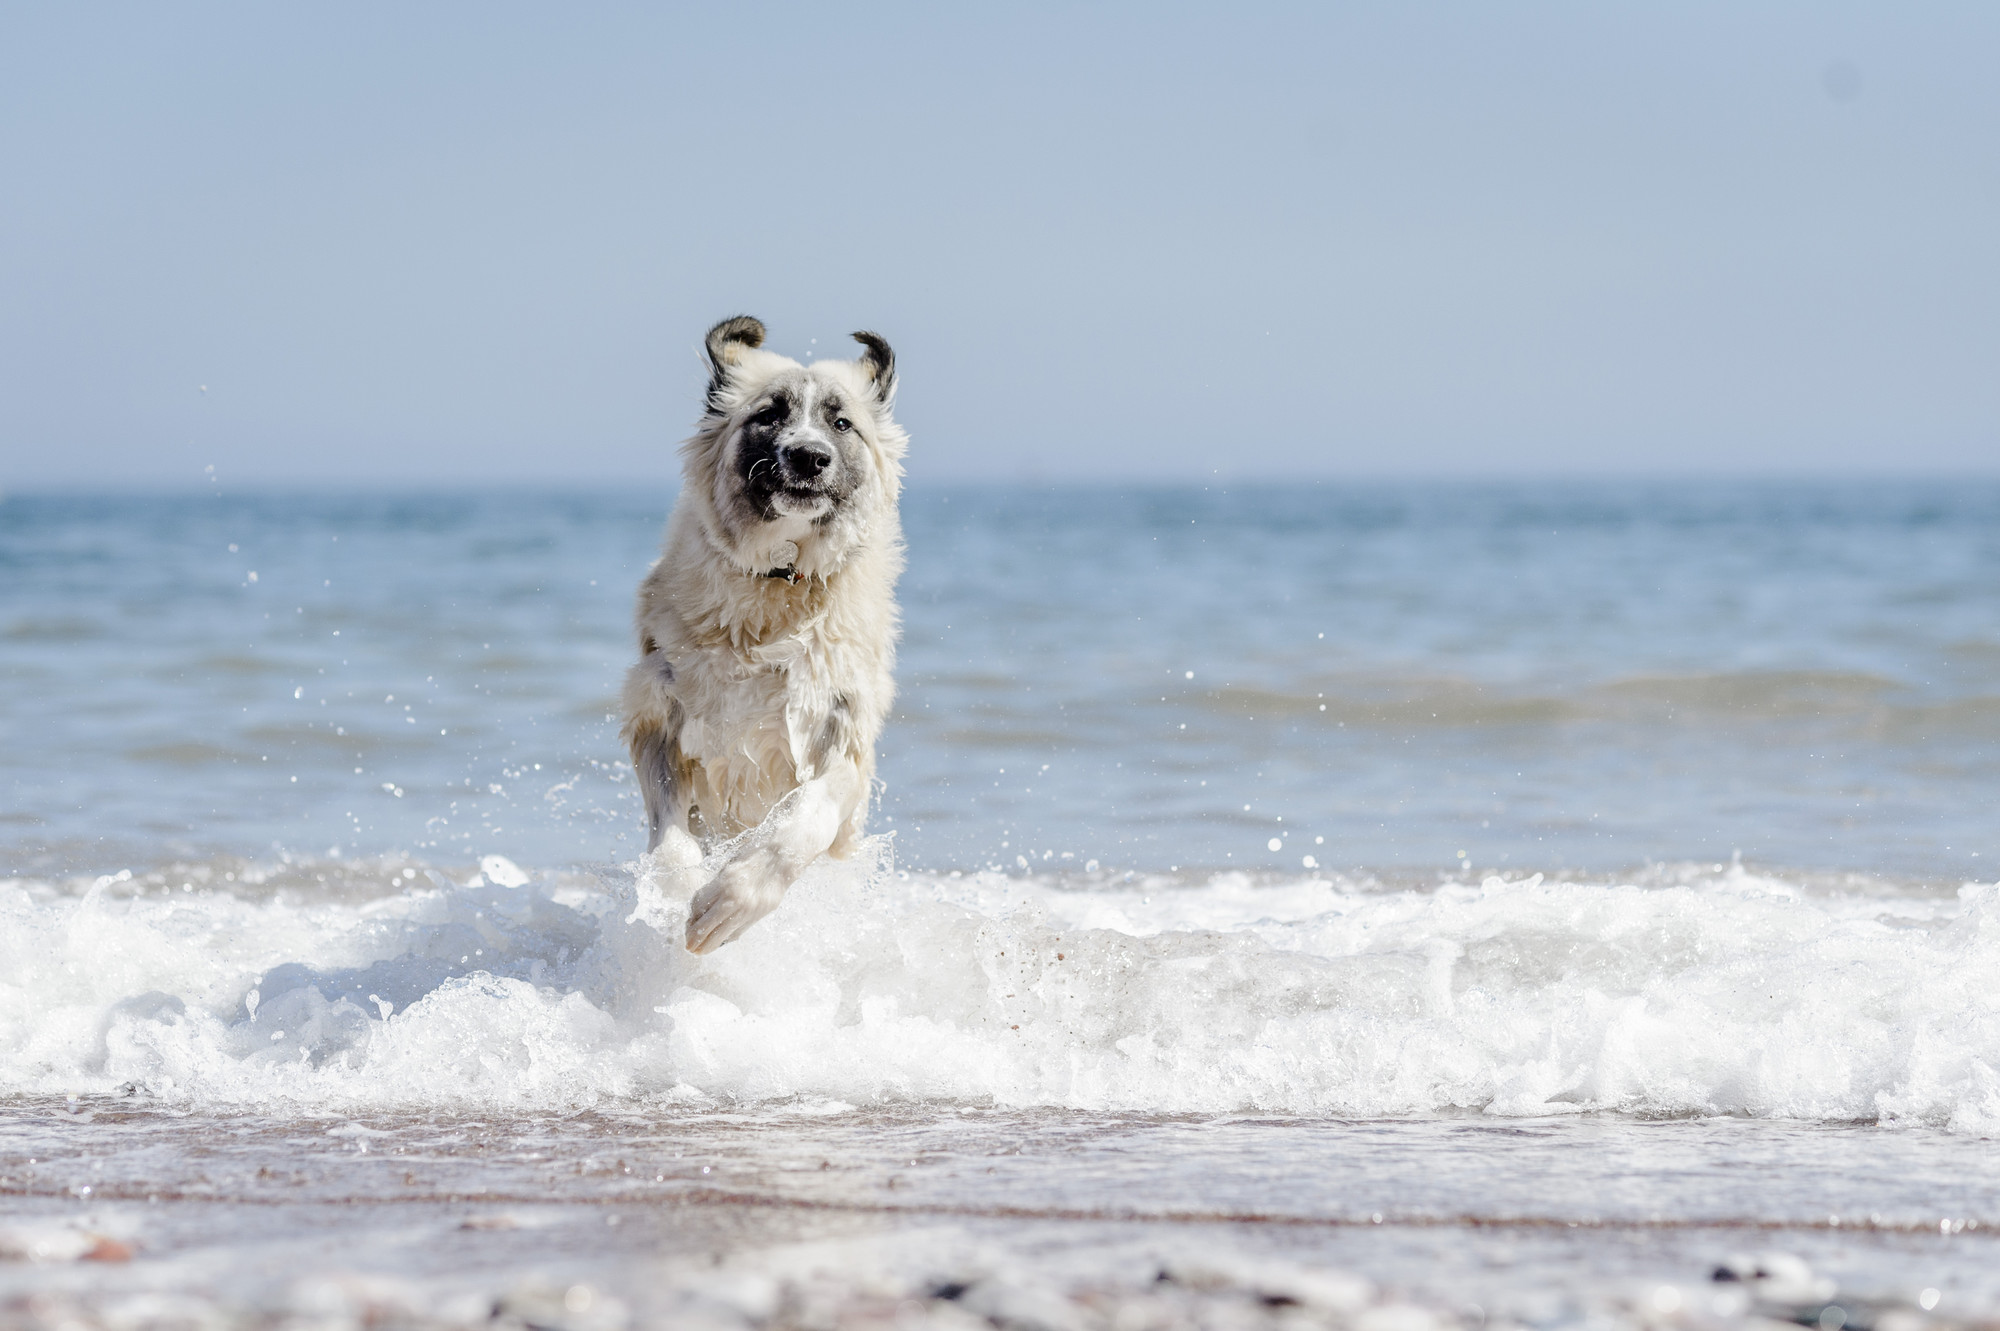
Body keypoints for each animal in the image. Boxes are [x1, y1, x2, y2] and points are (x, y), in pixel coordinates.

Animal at [620, 315, 912, 947]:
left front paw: (732, 901)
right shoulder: (661, 718)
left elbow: (803, 823)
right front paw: (674, 900)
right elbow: (671, 842)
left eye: (841, 423)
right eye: (769, 415)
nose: (808, 457)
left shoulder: (842, 733)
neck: (780, 584)